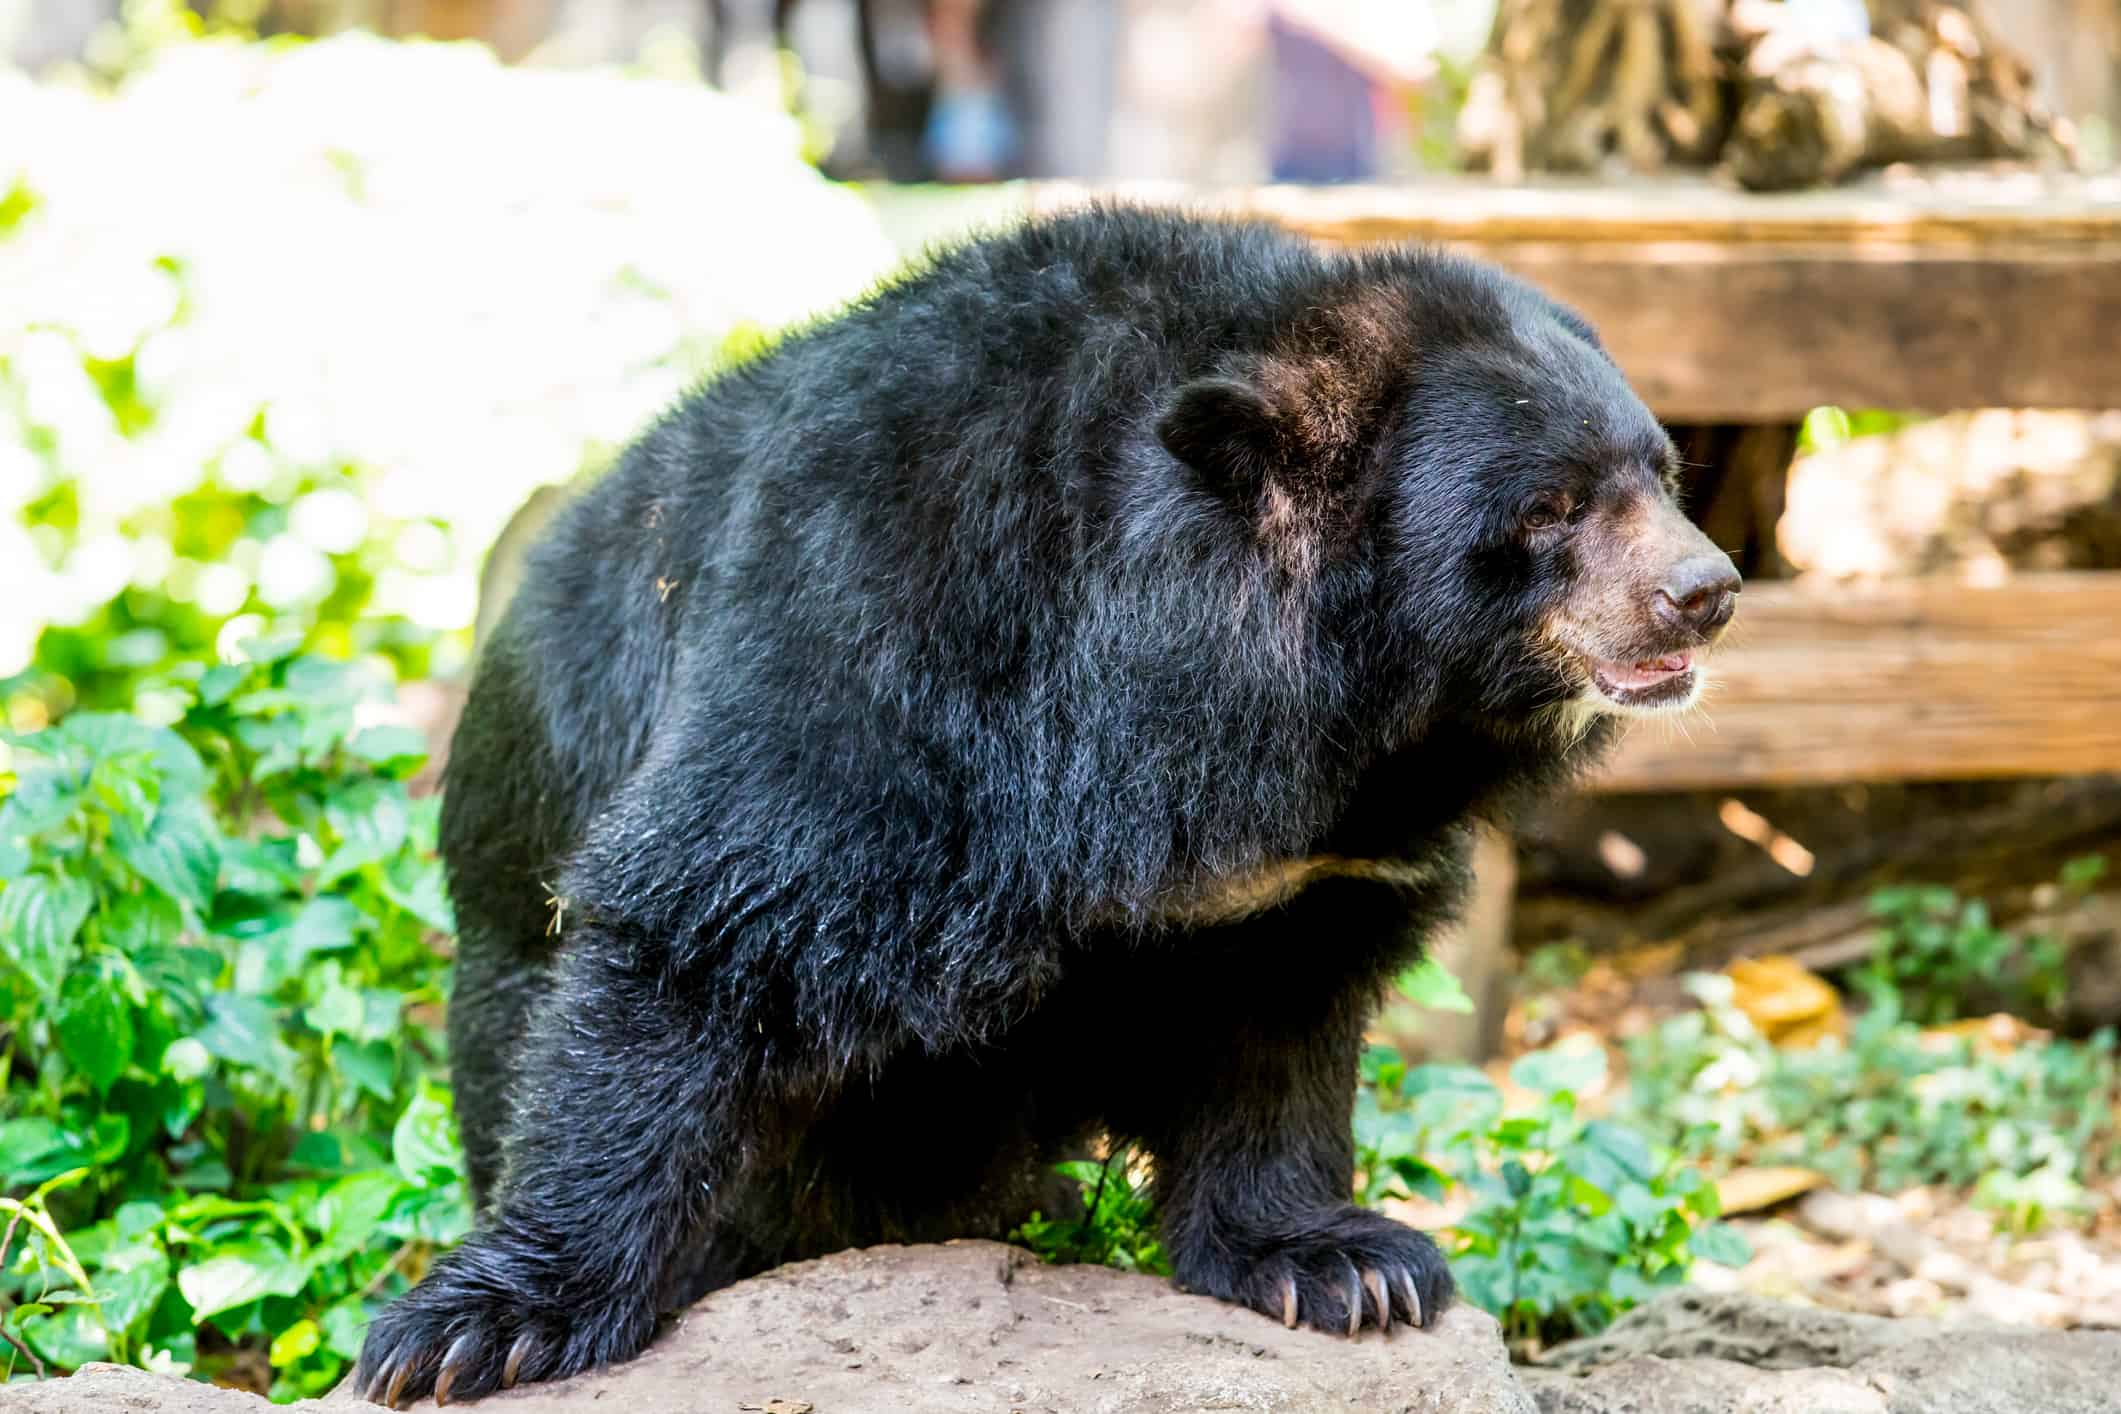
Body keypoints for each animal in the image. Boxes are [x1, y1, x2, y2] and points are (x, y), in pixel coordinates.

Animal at [355, 204, 1738, 1406]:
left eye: (1663, 474)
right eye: (1551, 506)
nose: (1707, 592)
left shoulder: (1308, 868)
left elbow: (1278, 1028)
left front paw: (1344, 1265)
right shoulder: (881, 624)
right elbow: (711, 922)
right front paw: (476, 1328)